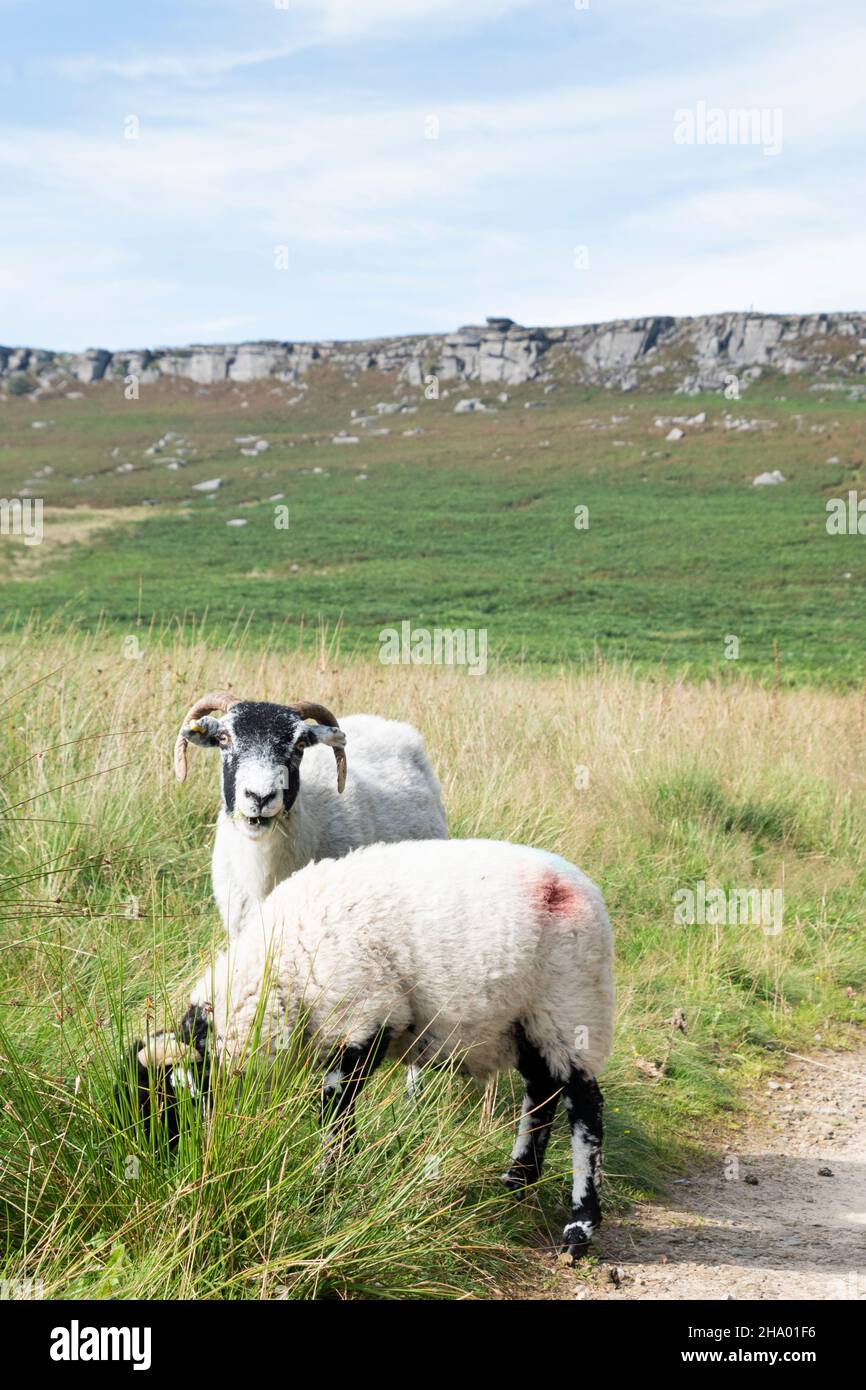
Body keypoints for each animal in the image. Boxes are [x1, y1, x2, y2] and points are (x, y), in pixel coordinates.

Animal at [135, 839, 617, 1256]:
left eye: (177, 1103)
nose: (167, 1170)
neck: (285, 970)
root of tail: (585, 888)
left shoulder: (362, 1017)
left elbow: (334, 1112)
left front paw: (325, 1185)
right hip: (530, 1022)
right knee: (541, 1091)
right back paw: (517, 1180)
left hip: (570, 1006)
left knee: (584, 1108)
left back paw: (579, 1226)